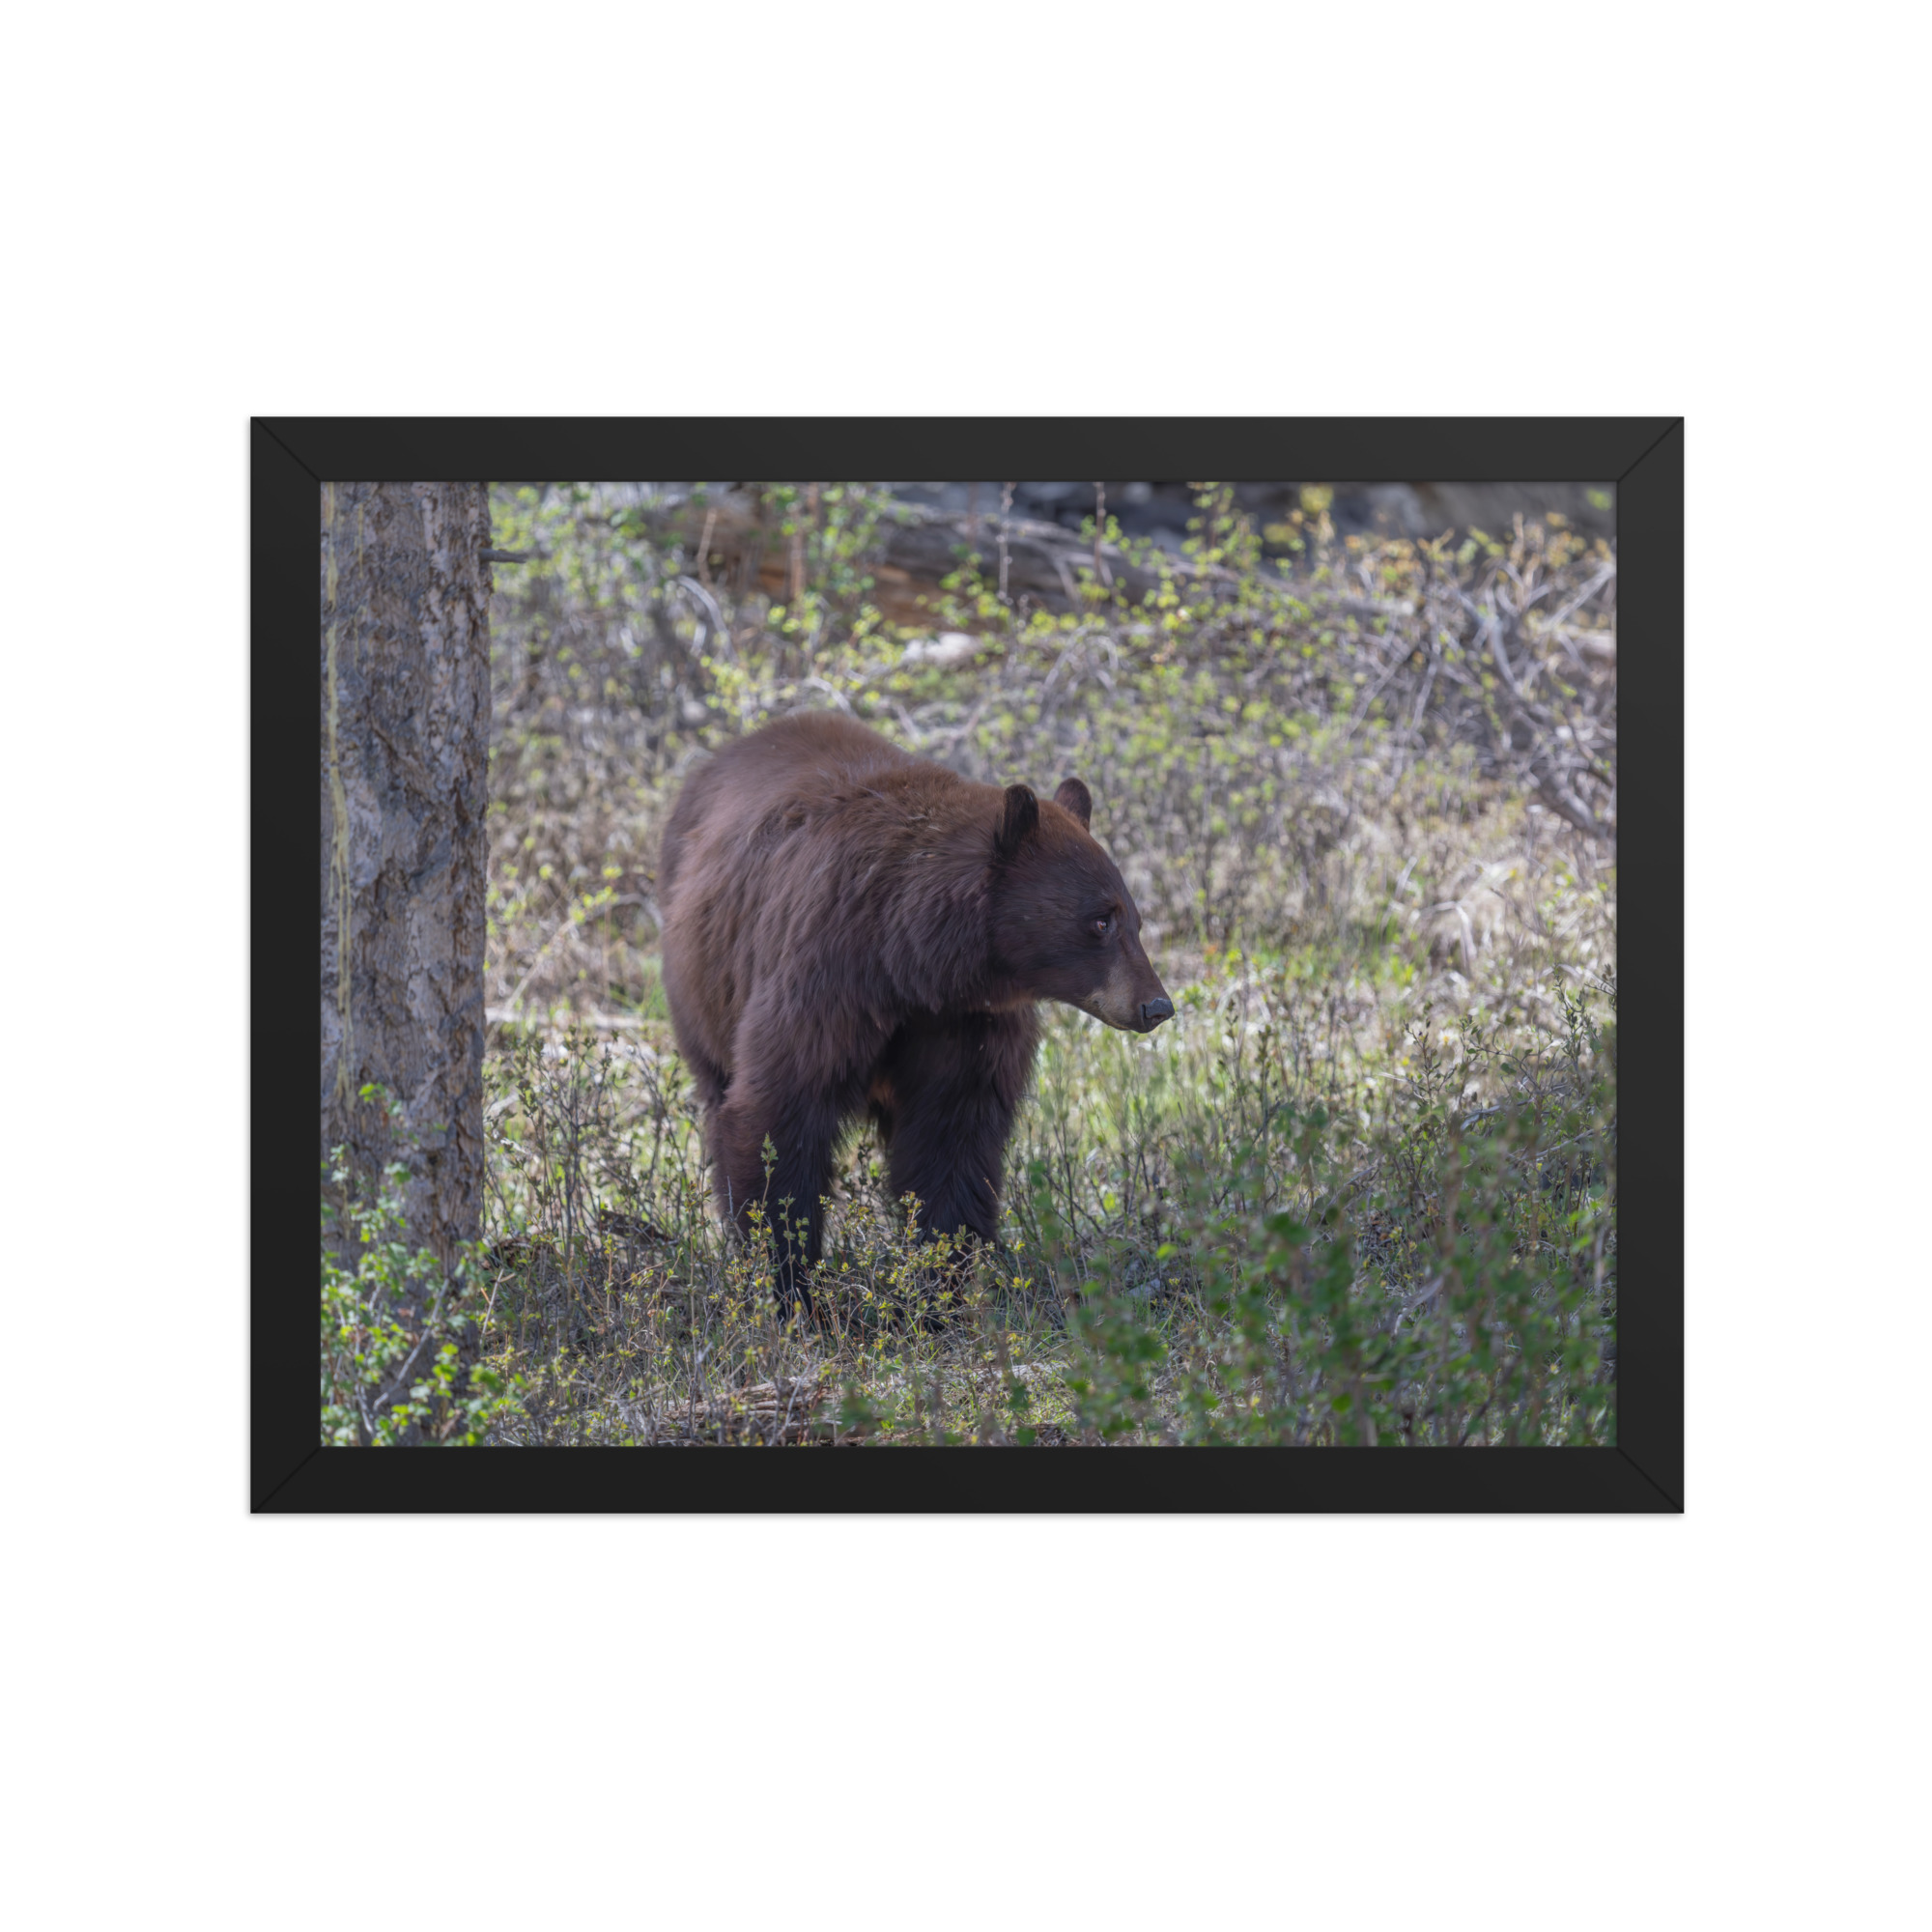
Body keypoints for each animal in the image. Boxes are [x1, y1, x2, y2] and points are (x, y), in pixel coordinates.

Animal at [656, 710, 1172, 1312]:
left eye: (1134, 919)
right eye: (1100, 920)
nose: (1157, 1005)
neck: (910, 961)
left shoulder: (966, 1023)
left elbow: (952, 1139)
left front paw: (938, 1291)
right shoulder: (825, 977)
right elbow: (779, 1114)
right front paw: (793, 1289)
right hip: (702, 989)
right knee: (719, 1095)